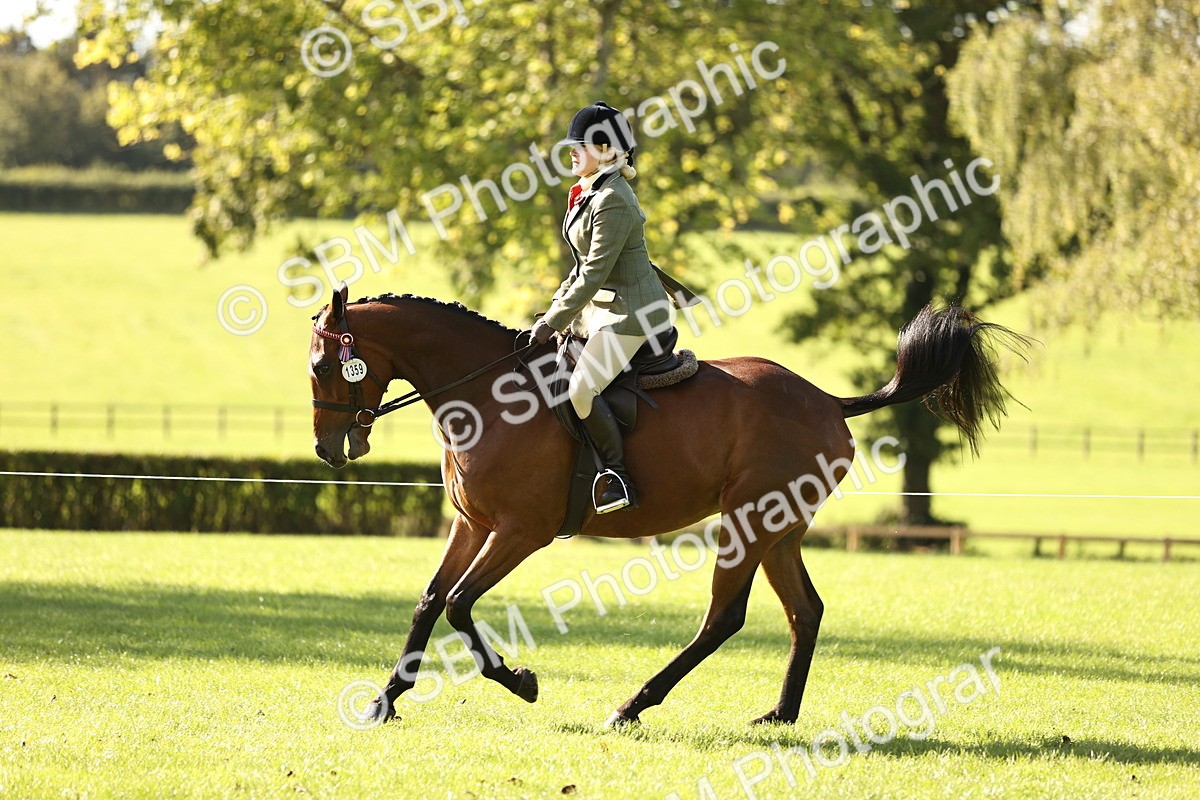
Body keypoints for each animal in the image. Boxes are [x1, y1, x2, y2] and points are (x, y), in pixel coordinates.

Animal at [309, 285, 1029, 727]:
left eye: (322, 367)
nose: (326, 449)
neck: (487, 393)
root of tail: (826, 400)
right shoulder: (472, 524)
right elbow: (431, 601)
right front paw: (385, 701)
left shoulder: (519, 531)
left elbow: (459, 605)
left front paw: (520, 681)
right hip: (780, 530)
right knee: (805, 612)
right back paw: (780, 713)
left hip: (748, 522)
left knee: (724, 618)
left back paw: (633, 705)